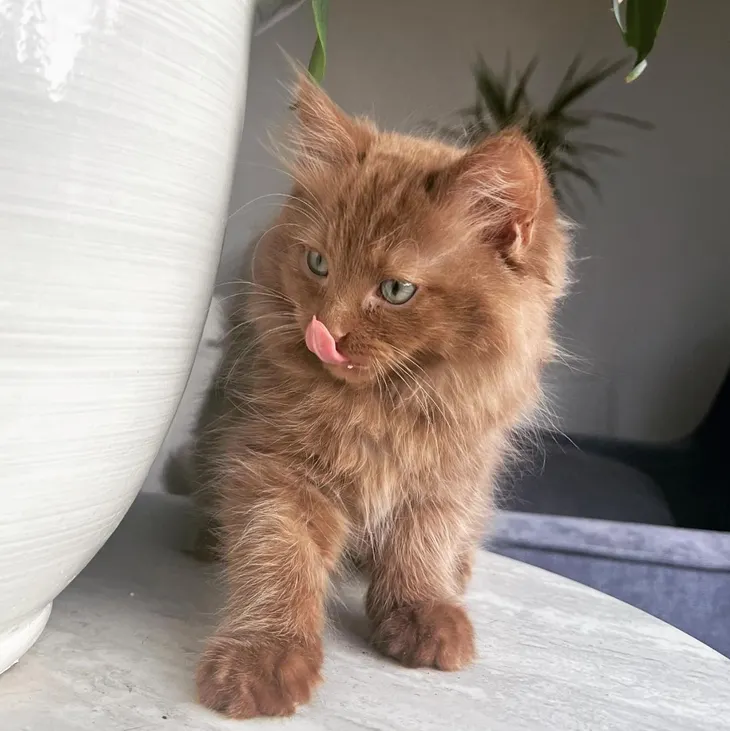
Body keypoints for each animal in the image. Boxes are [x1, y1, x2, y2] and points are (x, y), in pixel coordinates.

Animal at [189, 76, 568, 720]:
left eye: (395, 290)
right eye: (317, 262)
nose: (324, 330)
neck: (382, 408)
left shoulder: (450, 477)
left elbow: (423, 545)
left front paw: (422, 612)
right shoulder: (275, 469)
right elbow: (277, 559)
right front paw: (262, 660)